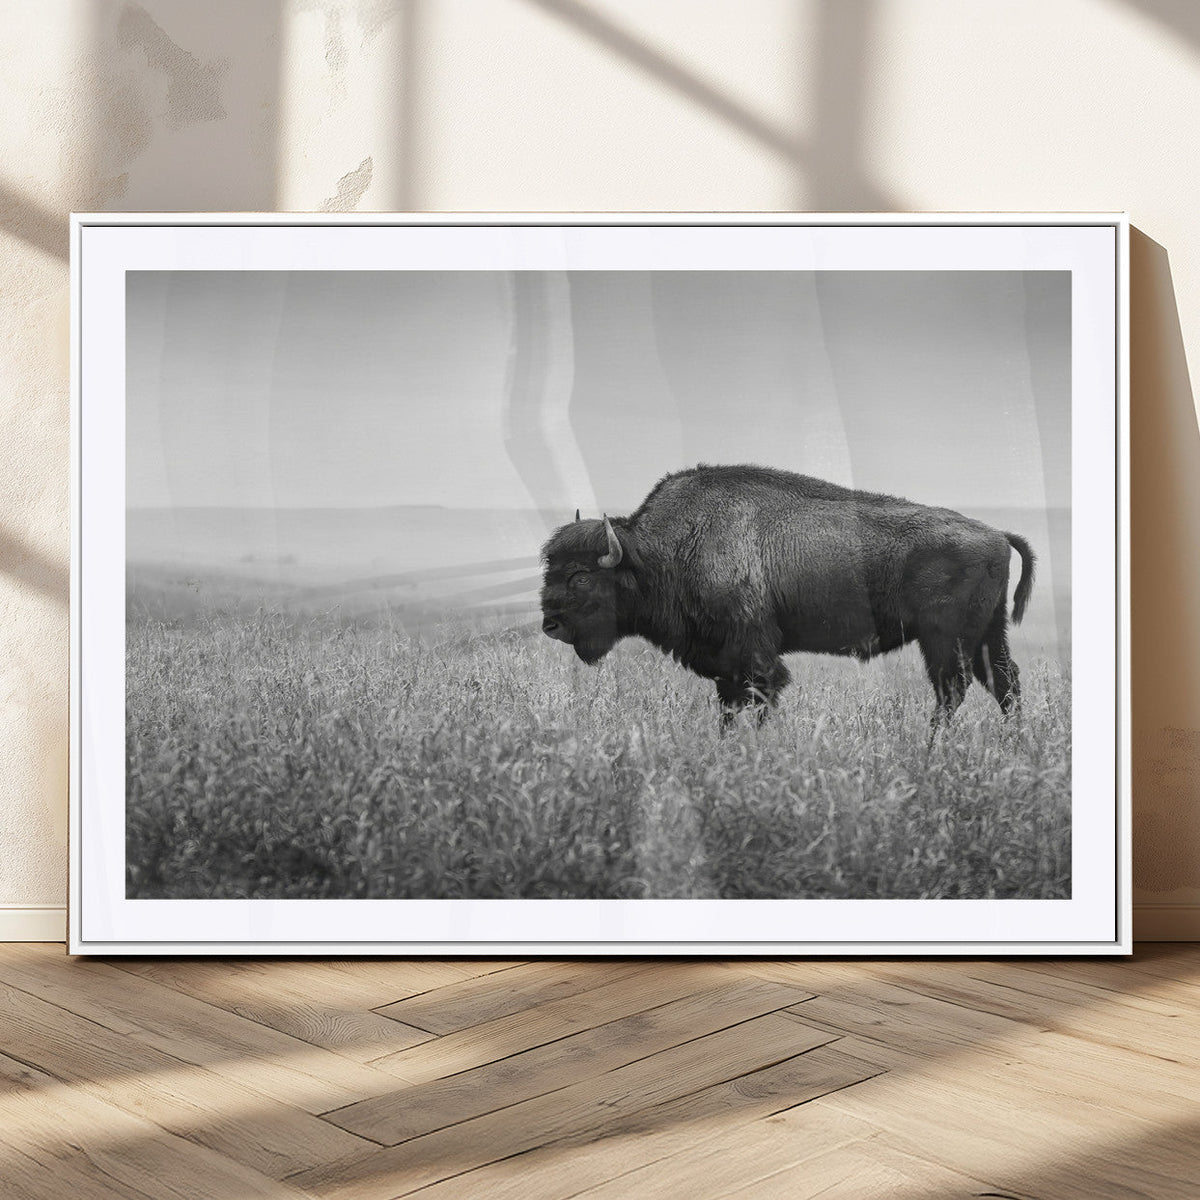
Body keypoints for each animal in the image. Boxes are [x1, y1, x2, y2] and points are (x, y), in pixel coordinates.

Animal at [539, 464, 1035, 727]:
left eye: (581, 576)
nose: (550, 624)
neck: (665, 550)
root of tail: (996, 533)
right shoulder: (726, 666)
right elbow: (729, 708)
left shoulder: (755, 657)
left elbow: (760, 699)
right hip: (988, 634)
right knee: (1004, 684)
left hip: (944, 639)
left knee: (953, 690)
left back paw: (932, 747)